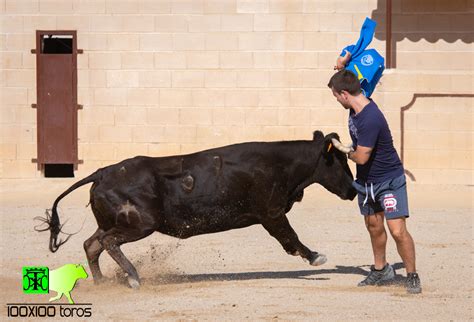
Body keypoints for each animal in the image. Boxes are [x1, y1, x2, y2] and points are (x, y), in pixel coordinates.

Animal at [38, 130, 356, 288]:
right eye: (340, 162)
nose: (353, 191)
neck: (282, 163)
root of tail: (103, 172)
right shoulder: (272, 214)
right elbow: (290, 238)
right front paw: (316, 258)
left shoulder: (272, 214)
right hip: (141, 223)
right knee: (106, 242)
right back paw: (133, 277)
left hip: (115, 221)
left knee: (92, 244)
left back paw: (102, 282)